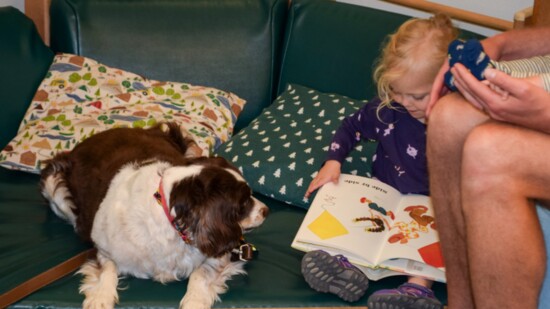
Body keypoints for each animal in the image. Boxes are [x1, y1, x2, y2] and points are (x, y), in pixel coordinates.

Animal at [40, 122, 270, 308]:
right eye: (243, 203)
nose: (266, 211)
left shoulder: (217, 254)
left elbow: (200, 274)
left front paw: (194, 301)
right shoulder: (103, 248)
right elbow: (108, 269)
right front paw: (100, 298)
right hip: (53, 184)